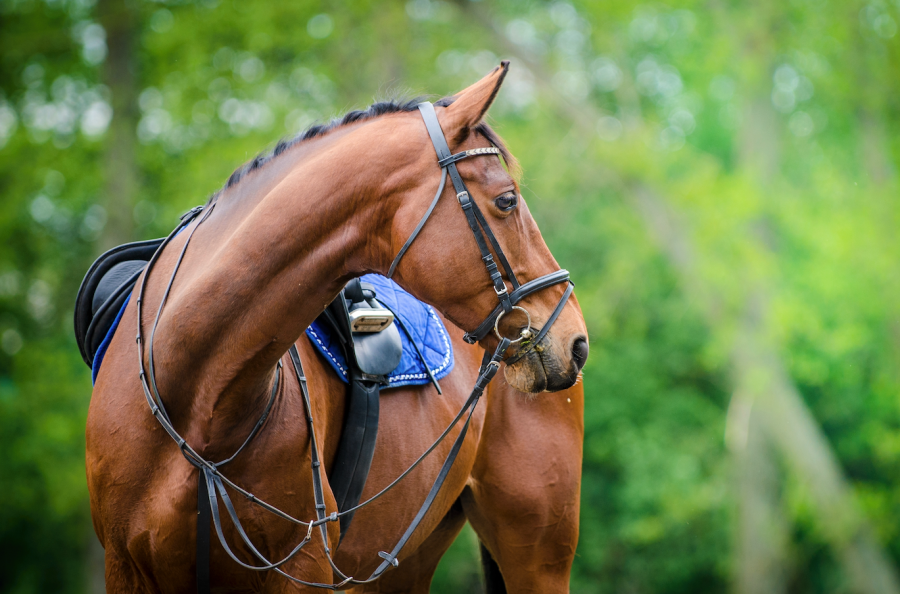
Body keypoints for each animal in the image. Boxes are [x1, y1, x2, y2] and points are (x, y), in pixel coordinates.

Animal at [86, 62, 592, 588]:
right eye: (508, 200)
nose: (575, 341)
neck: (197, 401)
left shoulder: (303, 562)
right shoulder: (125, 566)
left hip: (537, 558)